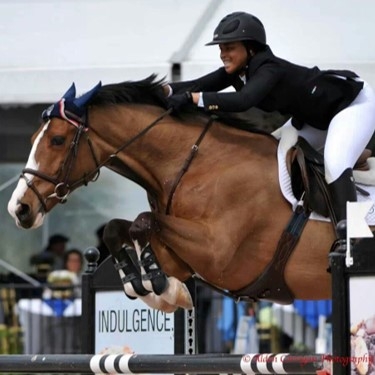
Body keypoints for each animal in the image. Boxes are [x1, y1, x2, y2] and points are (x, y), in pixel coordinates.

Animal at [6, 75, 362, 312]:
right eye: (35, 138)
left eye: (57, 140)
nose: (18, 209)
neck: (196, 163)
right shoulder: (181, 253)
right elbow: (119, 228)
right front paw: (143, 282)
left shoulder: (219, 253)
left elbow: (142, 222)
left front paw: (157, 284)